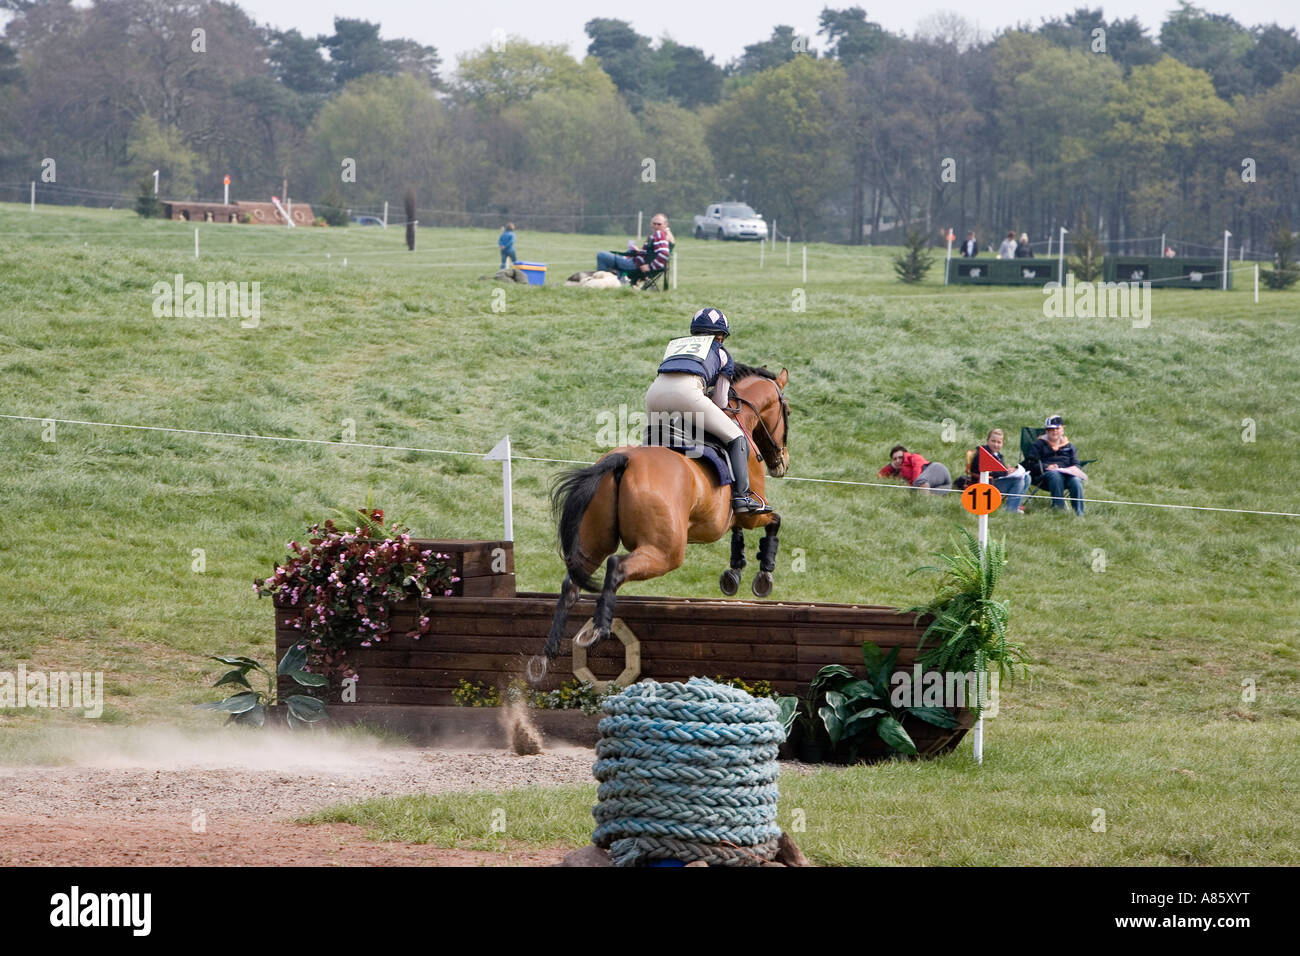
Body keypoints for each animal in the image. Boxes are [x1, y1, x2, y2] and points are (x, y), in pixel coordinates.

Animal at [527, 361, 790, 686]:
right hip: (666, 551)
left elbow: (738, 534)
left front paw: (733, 574)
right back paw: (598, 630)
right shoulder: (752, 511)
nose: (782, 463)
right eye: (787, 411)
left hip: (594, 540)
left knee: (571, 584)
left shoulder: (732, 519)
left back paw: (546, 655)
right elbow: (773, 522)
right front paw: (762, 577)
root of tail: (623, 461)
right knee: (616, 567)